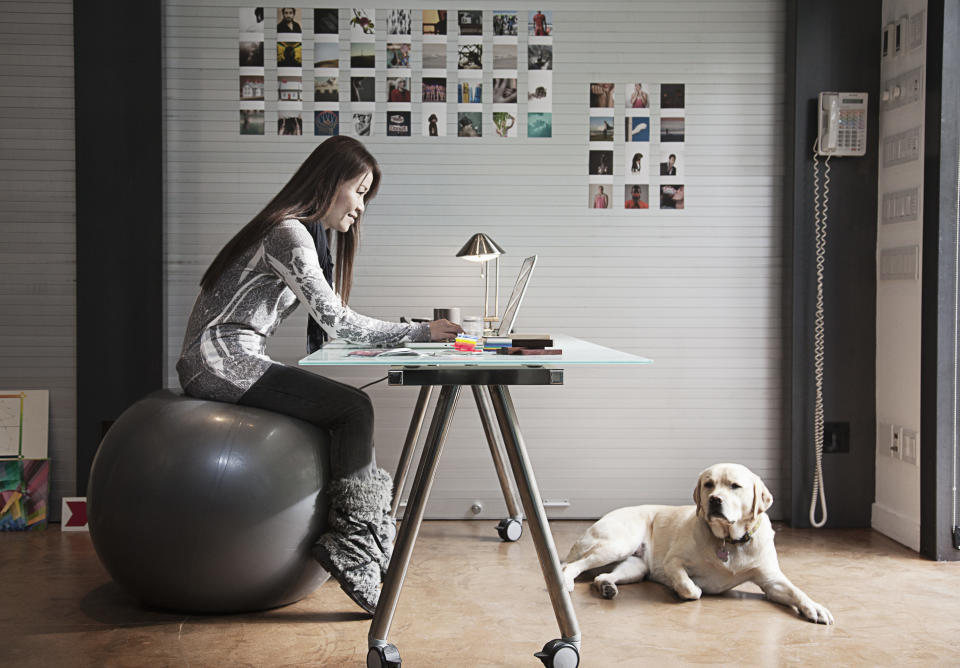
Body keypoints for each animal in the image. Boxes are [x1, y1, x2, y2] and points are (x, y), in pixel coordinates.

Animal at [564, 462, 832, 624]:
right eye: (708, 484)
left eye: (735, 486)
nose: (714, 500)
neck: (729, 541)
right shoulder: (673, 562)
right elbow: (691, 588)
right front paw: (686, 588)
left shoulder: (771, 580)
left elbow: (796, 591)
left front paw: (815, 607)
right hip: (617, 545)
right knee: (571, 566)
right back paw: (567, 581)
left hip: (635, 566)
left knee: (601, 576)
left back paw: (607, 586)